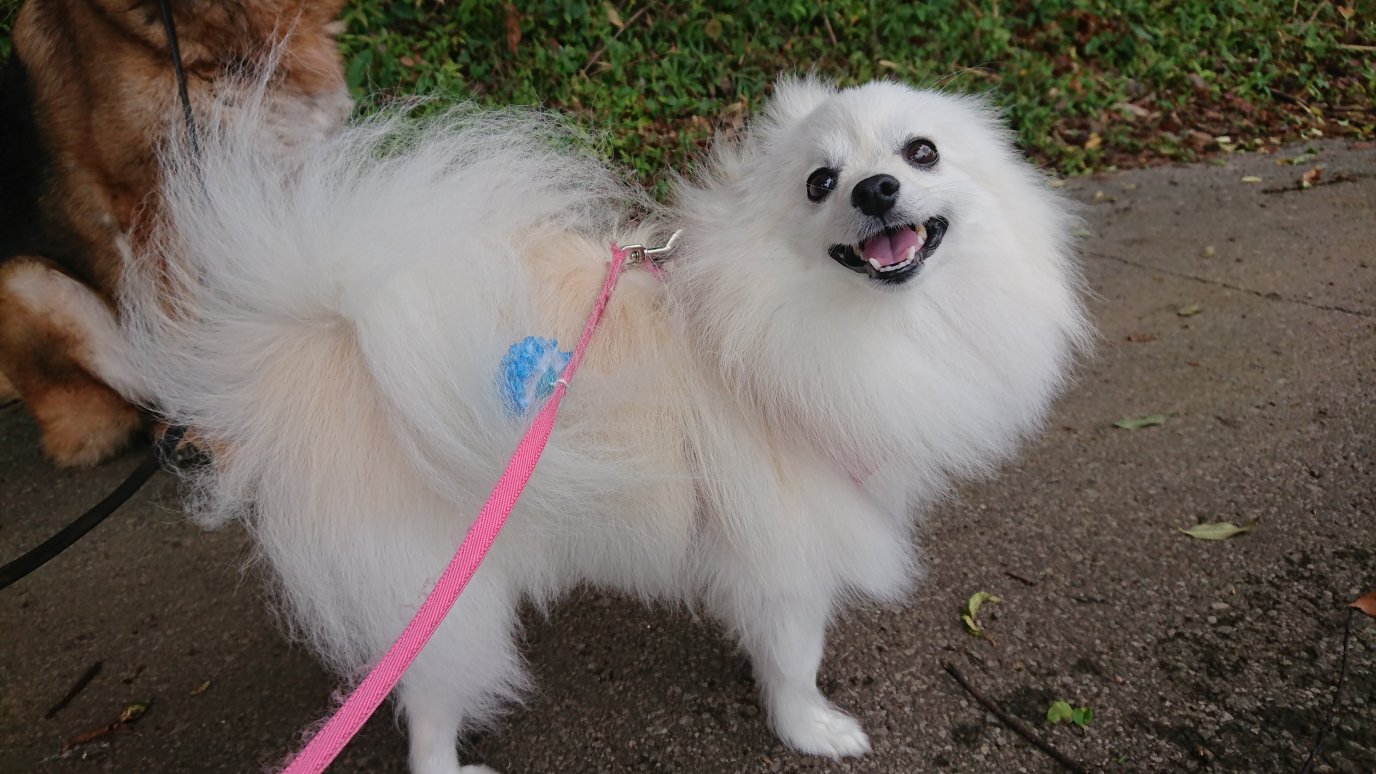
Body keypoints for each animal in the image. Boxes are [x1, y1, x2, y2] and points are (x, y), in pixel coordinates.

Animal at [116, 76, 1089, 772]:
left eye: (922, 152)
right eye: (820, 183)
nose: (879, 188)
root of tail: (330, 342)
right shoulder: (785, 544)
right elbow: (794, 655)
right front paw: (812, 730)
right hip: (445, 584)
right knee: (426, 710)